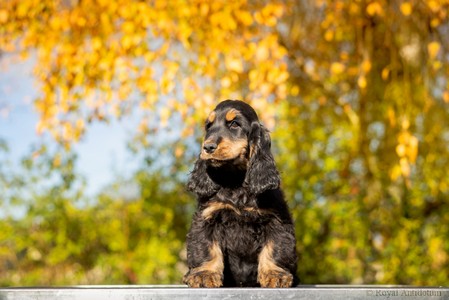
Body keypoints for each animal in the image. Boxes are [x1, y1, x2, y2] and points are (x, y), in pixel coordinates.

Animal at [183, 99, 298, 288]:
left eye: (234, 124)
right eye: (208, 126)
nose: (207, 147)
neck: (235, 180)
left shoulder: (276, 219)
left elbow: (275, 247)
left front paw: (275, 274)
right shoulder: (207, 217)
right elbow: (206, 247)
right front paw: (205, 274)